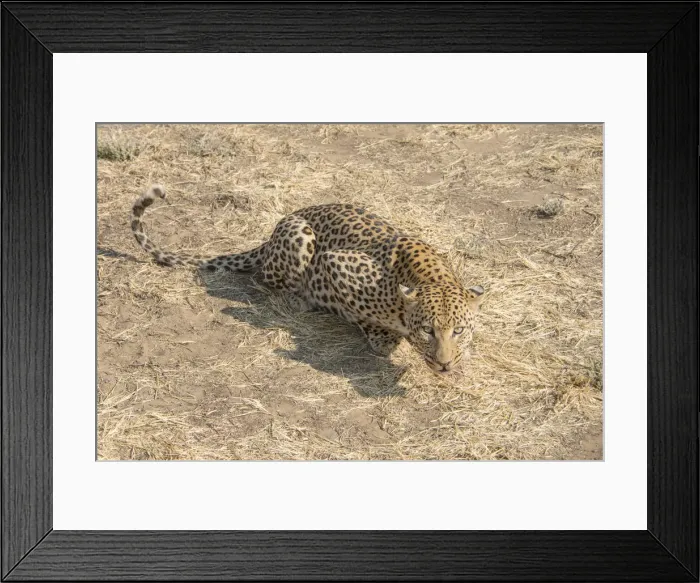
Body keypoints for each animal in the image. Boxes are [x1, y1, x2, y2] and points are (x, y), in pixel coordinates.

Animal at [131, 185, 485, 374]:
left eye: (458, 330)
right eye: (427, 330)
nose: (444, 364)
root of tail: (271, 235)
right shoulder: (335, 263)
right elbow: (366, 319)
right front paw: (382, 336)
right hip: (300, 234)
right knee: (267, 281)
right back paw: (298, 300)